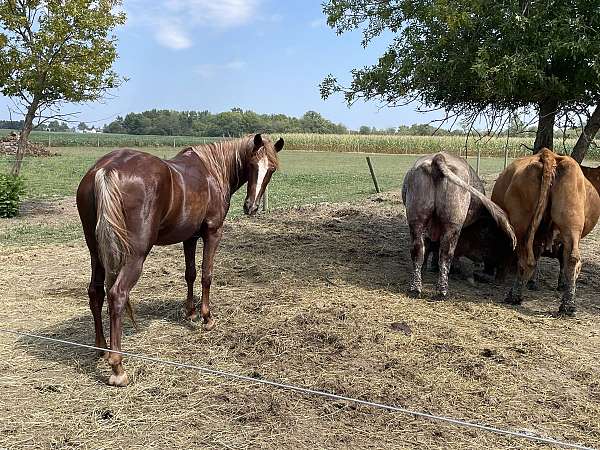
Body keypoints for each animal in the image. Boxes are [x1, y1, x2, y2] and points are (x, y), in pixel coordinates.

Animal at [77, 134, 284, 386]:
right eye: (253, 164)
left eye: (271, 169)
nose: (251, 207)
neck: (212, 170)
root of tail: (107, 169)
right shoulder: (213, 233)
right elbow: (206, 275)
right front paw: (206, 317)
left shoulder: (190, 237)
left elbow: (190, 274)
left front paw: (191, 312)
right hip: (135, 256)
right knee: (117, 294)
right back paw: (117, 367)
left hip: (96, 252)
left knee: (95, 292)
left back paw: (101, 347)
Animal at [492, 149, 600, 314]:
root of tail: (549, 155)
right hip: (570, 221)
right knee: (571, 259)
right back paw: (567, 305)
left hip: (522, 226)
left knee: (526, 260)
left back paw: (514, 295)